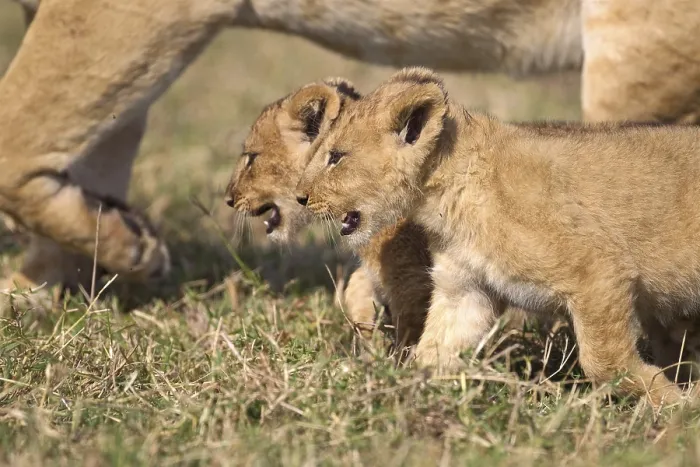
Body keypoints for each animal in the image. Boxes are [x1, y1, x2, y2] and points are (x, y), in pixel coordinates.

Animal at [295, 67, 700, 408]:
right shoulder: (465, 290)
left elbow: (604, 361)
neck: (448, 192)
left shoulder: (599, 272)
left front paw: (677, 405)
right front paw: (403, 395)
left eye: (336, 157)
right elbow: (434, 350)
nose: (300, 197)